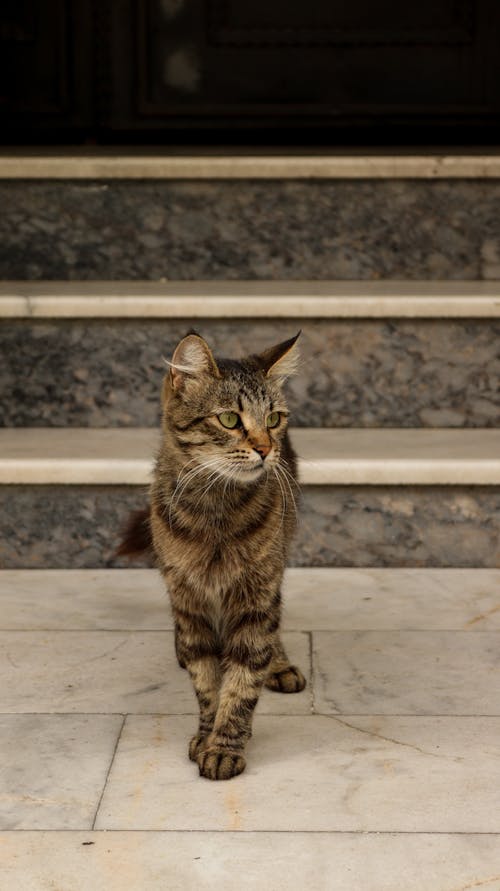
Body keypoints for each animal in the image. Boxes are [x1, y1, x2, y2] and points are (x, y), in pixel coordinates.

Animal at [118, 330, 304, 780]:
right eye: (230, 420)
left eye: (273, 419)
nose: (265, 449)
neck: (216, 510)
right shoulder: (190, 600)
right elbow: (207, 682)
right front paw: (206, 734)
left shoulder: (257, 595)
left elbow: (241, 683)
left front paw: (224, 746)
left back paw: (279, 663)